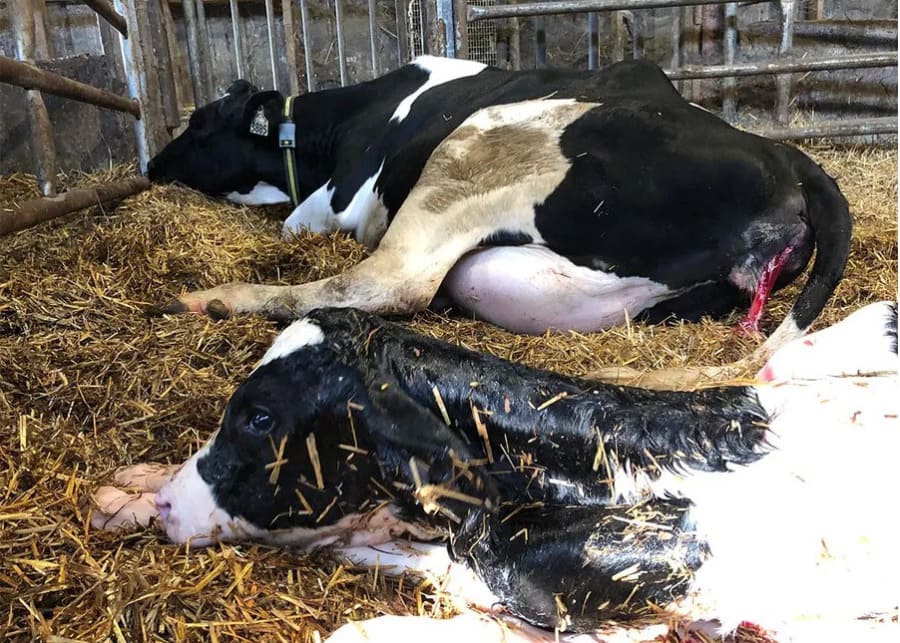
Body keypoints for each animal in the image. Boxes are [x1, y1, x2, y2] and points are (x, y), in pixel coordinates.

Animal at [146, 56, 851, 356]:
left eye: (201, 125)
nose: (150, 165)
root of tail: (784, 154)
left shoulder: (332, 206)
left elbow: (300, 231)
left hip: (477, 147)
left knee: (388, 283)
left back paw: (210, 299)